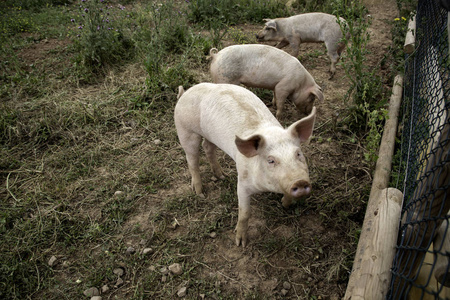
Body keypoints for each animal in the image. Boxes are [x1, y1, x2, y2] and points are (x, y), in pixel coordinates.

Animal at [174, 83, 314, 247]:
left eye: (298, 154)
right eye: (271, 160)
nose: (300, 182)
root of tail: (185, 93)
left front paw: (285, 205)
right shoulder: (242, 182)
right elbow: (245, 212)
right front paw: (240, 243)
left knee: (207, 147)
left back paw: (222, 176)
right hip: (185, 131)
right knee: (192, 160)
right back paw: (199, 192)